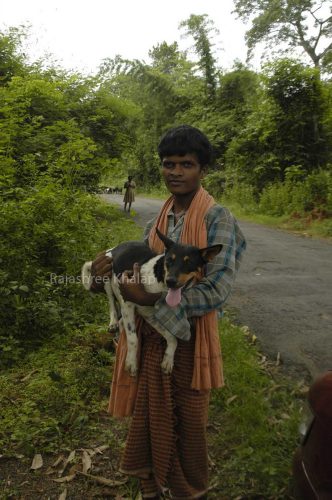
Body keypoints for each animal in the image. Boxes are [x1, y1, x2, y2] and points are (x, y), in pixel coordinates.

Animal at [80, 229, 222, 376]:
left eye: (189, 263)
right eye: (169, 260)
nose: (170, 281)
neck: (160, 283)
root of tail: (115, 247)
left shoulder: (151, 315)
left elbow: (173, 338)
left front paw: (168, 360)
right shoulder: (127, 304)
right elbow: (133, 339)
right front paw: (131, 362)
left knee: (121, 319)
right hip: (107, 277)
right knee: (112, 303)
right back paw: (113, 322)